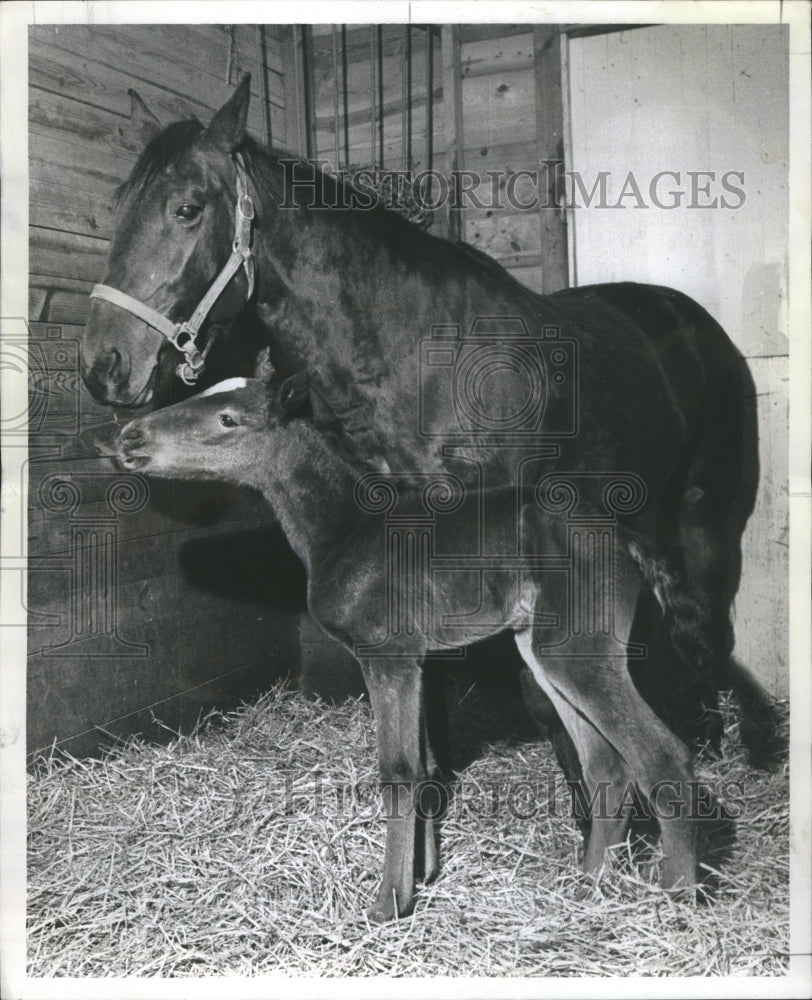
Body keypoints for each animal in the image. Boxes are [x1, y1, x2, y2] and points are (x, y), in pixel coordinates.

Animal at [82, 78, 772, 760]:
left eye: (187, 209)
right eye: (117, 206)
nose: (103, 366)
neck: (418, 355)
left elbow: (542, 701)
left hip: (704, 517)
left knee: (708, 621)